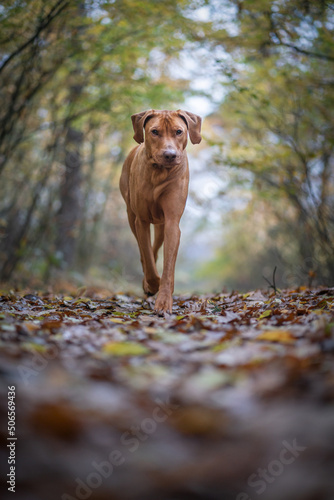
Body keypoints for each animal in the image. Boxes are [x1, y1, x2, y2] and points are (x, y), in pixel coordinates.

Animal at [120, 109, 202, 312]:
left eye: (179, 131)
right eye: (155, 131)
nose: (170, 155)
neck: (159, 173)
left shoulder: (172, 222)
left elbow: (168, 265)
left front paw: (164, 300)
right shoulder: (141, 220)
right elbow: (148, 258)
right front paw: (152, 284)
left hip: (160, 223)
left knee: (155, 248)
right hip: (131, 213)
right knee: (144, 251)